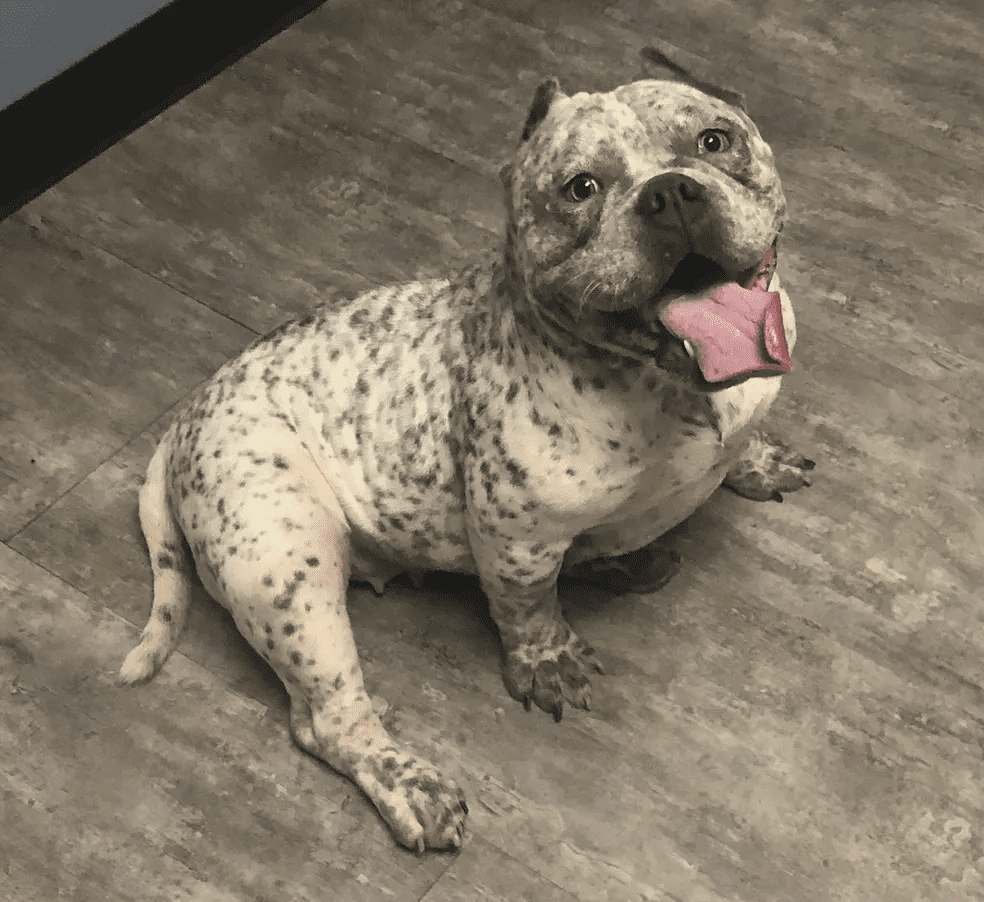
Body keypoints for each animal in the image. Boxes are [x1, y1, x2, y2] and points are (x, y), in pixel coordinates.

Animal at [121, 49, 816, 856]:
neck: (665, 385)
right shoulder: (518, 541)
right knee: (328, 722)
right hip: (290, 567)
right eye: (580, 188)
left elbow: (743, 446)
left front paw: (758, 461)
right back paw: (410, 785)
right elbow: (528, 610)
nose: (670, 192)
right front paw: (547, 661)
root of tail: (182, 422)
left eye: (713, 140)